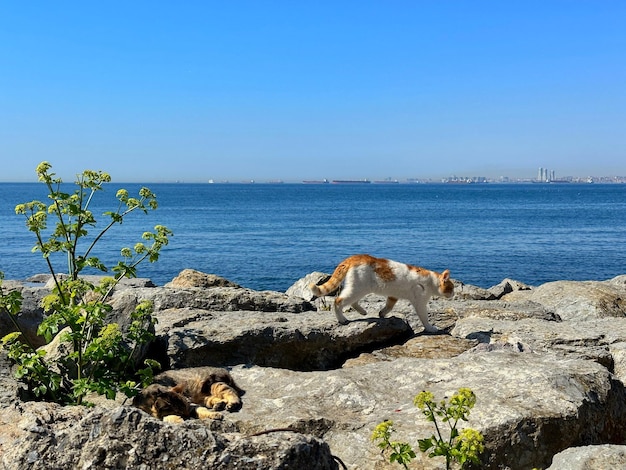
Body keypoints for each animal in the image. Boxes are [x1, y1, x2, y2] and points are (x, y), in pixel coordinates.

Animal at [308, 253, 450, 330]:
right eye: (451, 288)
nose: (453, 294)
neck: (431, 281)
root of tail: (355, 257)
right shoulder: (420, 302)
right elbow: (424, 317)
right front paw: (431, 328)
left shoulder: (393, 295)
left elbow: (389, 306)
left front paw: (382, 314)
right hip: (358, 288)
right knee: (338, 301)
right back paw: (342, 319)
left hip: (358, 288)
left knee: (353, 302)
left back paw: (363, 312)